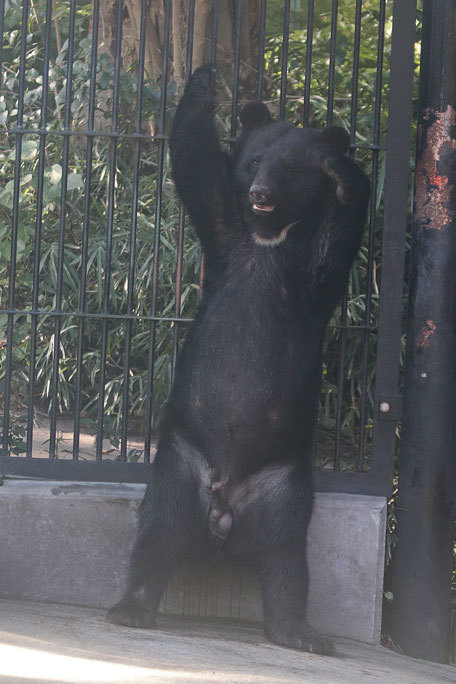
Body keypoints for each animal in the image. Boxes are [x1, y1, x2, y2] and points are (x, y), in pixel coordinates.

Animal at [108, 65, 370, 656]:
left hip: (284, 490)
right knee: (155, 534)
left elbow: (342, 232)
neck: (268, 238)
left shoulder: (310, 277)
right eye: (254, 161)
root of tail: (223, 511)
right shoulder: (226, 234)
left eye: (289, 168)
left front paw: (339, 164)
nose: (260, 193)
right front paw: (207, 79)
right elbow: (195, 164)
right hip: (178, 465)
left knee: (287, 564)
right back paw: (130, 607)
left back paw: (301, 633)